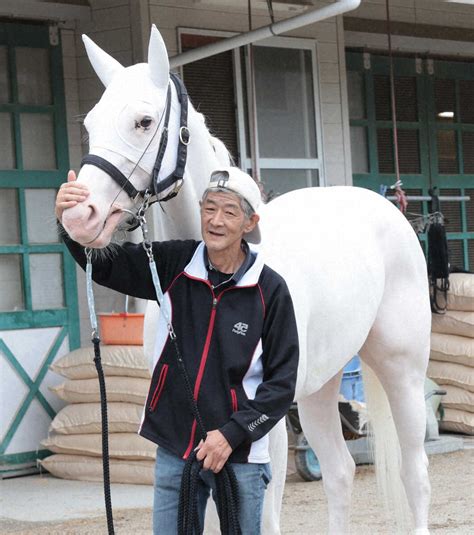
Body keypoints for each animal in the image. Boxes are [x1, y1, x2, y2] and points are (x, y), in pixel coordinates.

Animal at [62, 26, 434, 535]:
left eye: (143, 121)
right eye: (92, 124)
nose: (81, 215)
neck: (218, 274)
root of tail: (389, 209)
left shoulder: (262, 426)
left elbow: (265, 517)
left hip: (402, 371)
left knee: (414, 474)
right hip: (320, 386)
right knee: (339, 472)